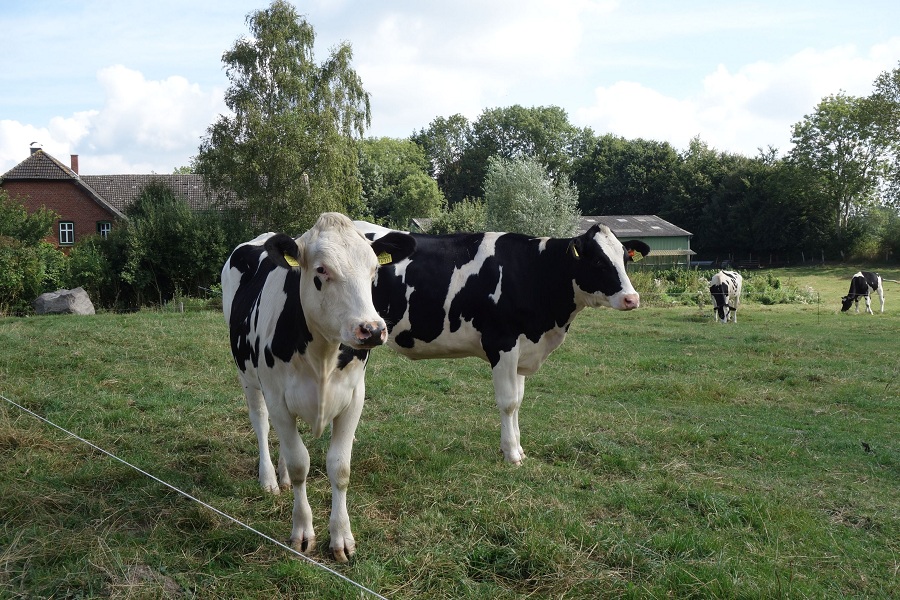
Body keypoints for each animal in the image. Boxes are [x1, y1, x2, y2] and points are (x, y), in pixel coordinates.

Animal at [221, 213, 415, 562]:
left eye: (373, 270)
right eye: (321, 270)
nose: (372, 329)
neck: (323, 353)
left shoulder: (354, 398)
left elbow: (339, 468)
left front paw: (341, 538)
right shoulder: (277, 398)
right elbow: (301, 464)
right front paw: (302, 533)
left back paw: (281, 476)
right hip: (248, 377)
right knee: (261, 422)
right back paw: (269, 479)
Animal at [354, 221, 651, 465]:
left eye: (625, 258)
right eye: (598, 261)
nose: (632, 298)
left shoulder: (522, 349)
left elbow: (518, 400)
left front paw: (518, 449)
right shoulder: (502, 342)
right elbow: (508, 402)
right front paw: (511, 455)